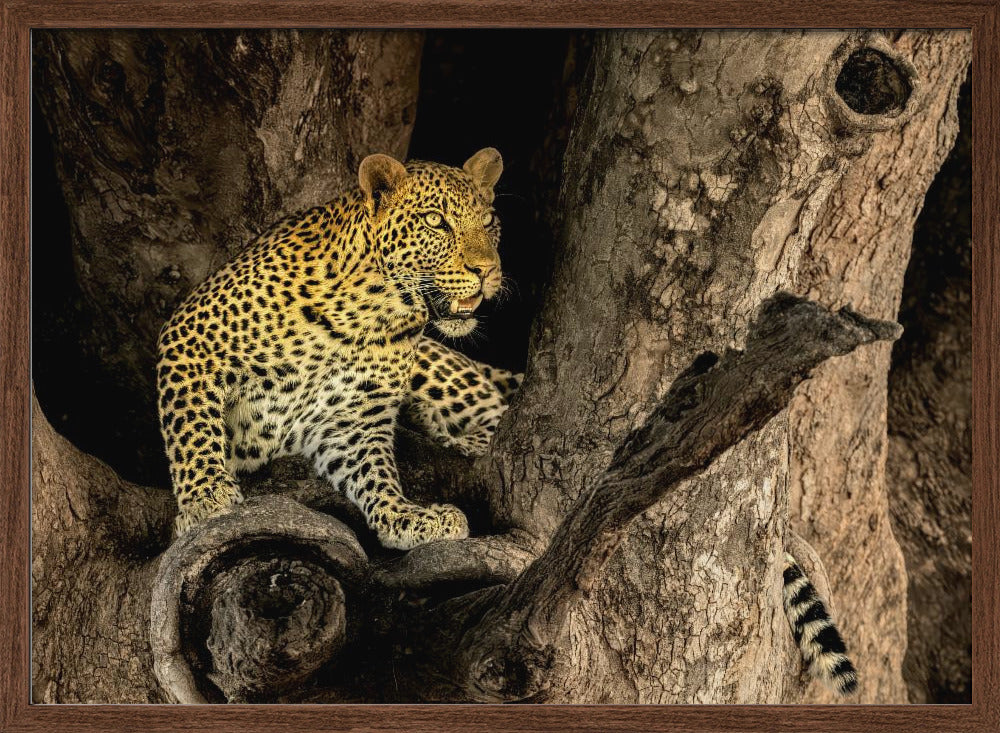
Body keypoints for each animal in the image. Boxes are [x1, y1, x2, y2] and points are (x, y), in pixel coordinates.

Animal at [156, 147, 522, 550]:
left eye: (488, 221)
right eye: (435, 221)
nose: (487, 270)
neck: (369, 310)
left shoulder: (351, 418)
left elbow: (375, 472)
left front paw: (404, 516)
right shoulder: (191, 337)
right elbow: (192, 427)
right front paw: (205, 498)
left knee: (494, 413)